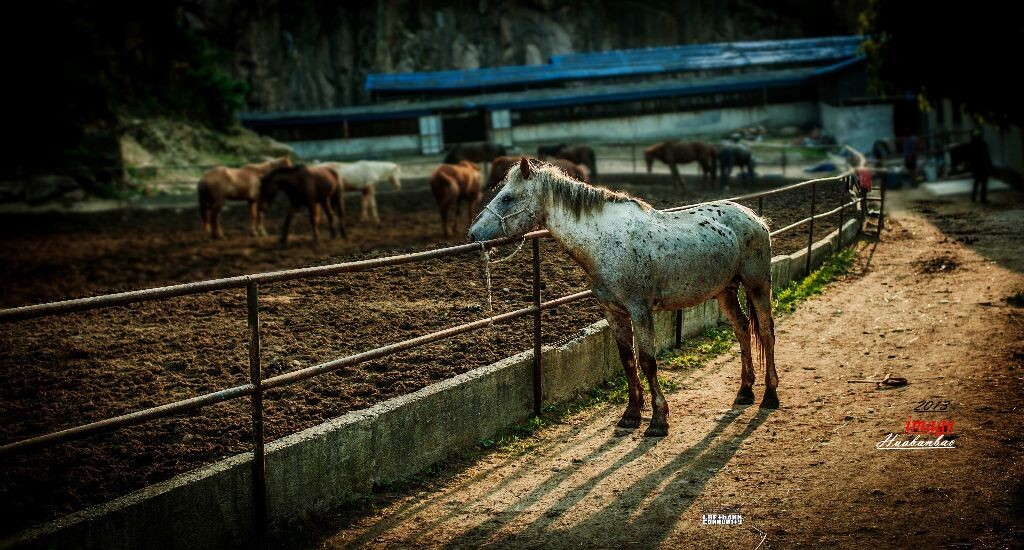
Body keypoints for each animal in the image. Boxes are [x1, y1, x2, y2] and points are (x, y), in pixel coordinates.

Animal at [468, 156, 778, 436]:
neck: (607, 240)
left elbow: (648, 361)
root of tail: (754, 218)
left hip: (758, 285)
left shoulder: (640, 310)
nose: (472, 235)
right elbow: (627, 360)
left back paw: (770, 396)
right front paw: (631, 414)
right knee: (742, 329)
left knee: (766, 331)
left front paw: (658, 420)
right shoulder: (614, 312)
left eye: (507, 198)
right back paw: (745, 391)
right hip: (726, 291)